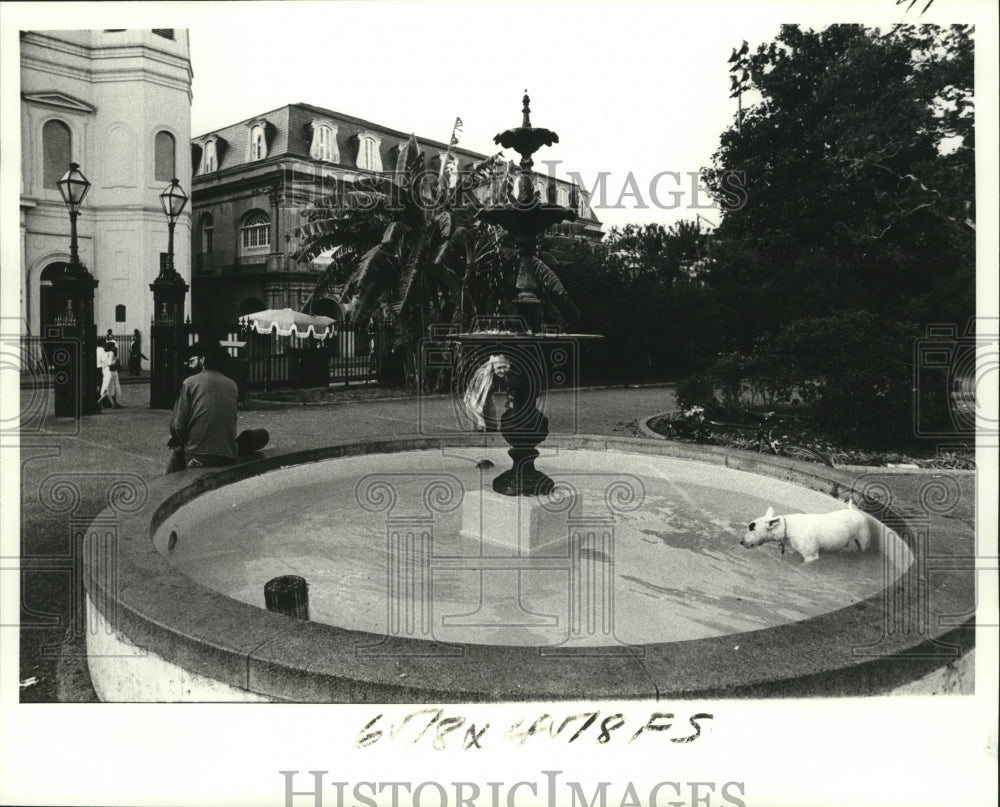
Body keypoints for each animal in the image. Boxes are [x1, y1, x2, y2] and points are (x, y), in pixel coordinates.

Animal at [740, 502, 872, 564]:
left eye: (752, 528)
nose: (741, 542)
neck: (788, 527)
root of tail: (853, 511)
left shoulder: (811, 557)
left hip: (863, 540)